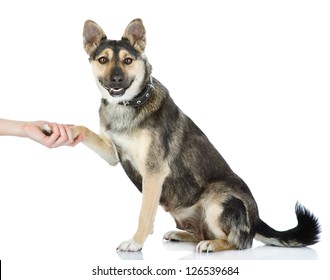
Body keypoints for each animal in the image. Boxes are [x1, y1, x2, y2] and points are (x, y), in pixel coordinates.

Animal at [71, 18, 320, 253]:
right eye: (103, 60)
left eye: (128, 61)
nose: (116, 80)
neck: (128, 105)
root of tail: (256, 219)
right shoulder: (115, 154)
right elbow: (84, 130)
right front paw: (68, 130)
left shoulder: (154, 172)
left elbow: (144, 213)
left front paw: (136, 243)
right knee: (202, 233)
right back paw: (181, 235)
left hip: (217, 201)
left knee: (238, 242)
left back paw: (212, 245)